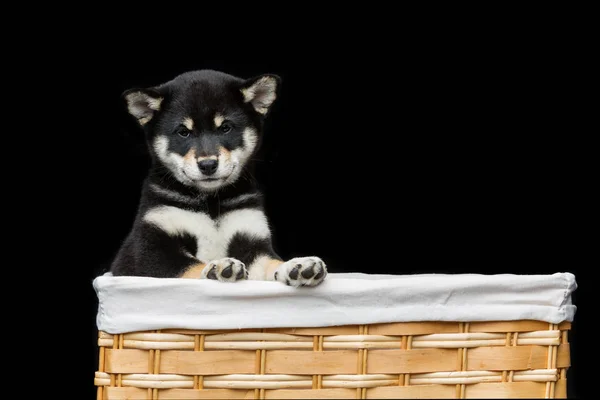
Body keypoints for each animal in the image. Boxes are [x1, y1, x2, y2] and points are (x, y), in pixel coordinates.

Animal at [111, 69, 328, 288]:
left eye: (225, 128)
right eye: (183, 132)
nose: (208, 165)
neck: (211, 202)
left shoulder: (251, 238)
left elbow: (271, 262)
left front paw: (298, 265)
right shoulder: (146, 250)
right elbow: (190, 265)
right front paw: (217, 267)